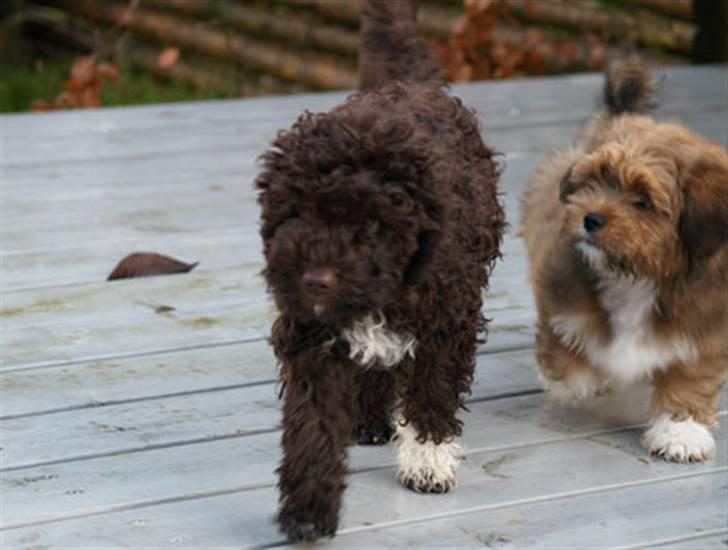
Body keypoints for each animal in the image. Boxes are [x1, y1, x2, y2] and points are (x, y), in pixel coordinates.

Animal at [524, 56, 728, 464]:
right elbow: (564, 346)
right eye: (595, 180)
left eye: (643, 200)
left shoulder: (705, 324)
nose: (590, 218)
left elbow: (691, 377)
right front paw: (577, 380)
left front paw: (680, 431)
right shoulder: (558, 284)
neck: (638, 276)